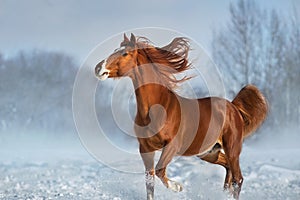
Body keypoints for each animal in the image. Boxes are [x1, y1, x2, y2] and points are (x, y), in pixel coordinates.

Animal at [94, 33, 268, 199]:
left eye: (124, 53)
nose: (98, 68)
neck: (157, 108)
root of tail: (233, 107)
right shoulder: (145, 149)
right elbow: (150, 182)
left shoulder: (172, 146)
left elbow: (160, 171)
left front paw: (178, 187)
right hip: (209, 152)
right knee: (228, 169)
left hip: (232, 148)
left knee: (238, 179)